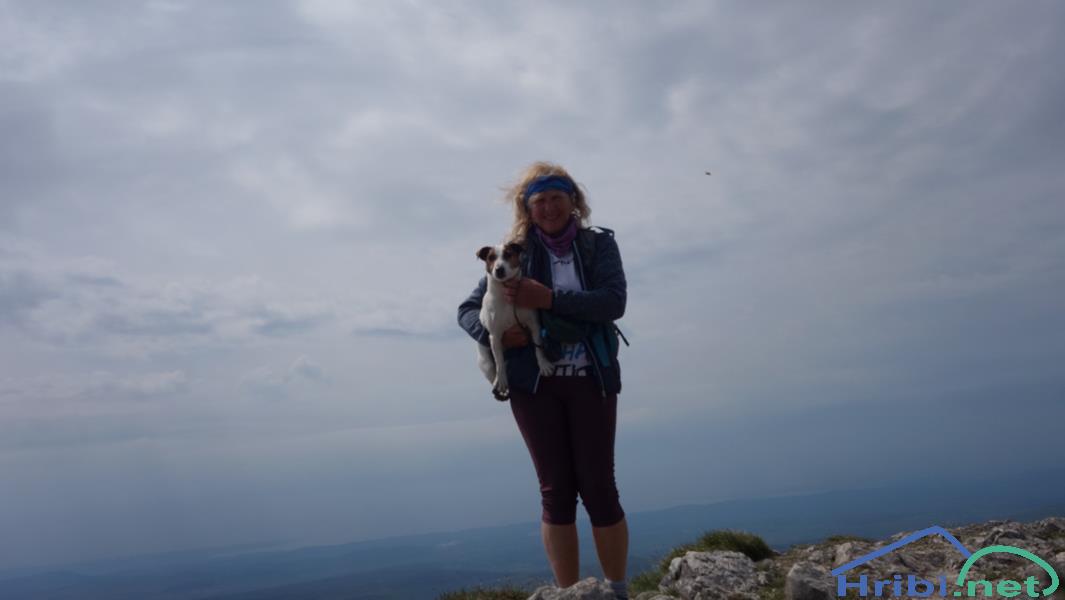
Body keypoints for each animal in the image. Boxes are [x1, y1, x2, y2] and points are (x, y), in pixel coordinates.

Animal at [475, 242, 554, 400]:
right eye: (491, 257)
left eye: (508, 254)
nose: (499, 269)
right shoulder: (495, 336)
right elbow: (499, 362)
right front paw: (502, 380)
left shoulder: (534, 326)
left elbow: (538, 349)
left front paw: (544, 365)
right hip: (485, 360)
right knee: (493, 368)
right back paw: (497, 383)